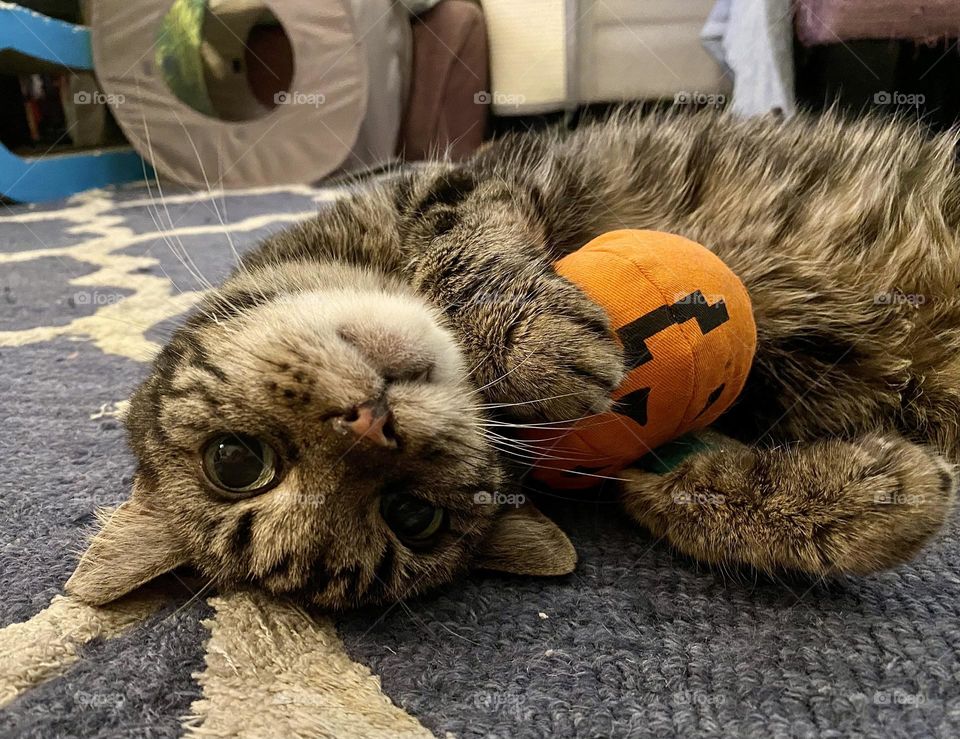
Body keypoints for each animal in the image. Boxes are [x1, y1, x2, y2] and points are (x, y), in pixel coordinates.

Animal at [67, 108, 960, 608]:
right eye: (414, 517)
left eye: (235, 461)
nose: (372, 423)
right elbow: (681, 488)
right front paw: (866, 500)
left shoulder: (453, 182)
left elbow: (462, 249)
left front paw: (527, 338)